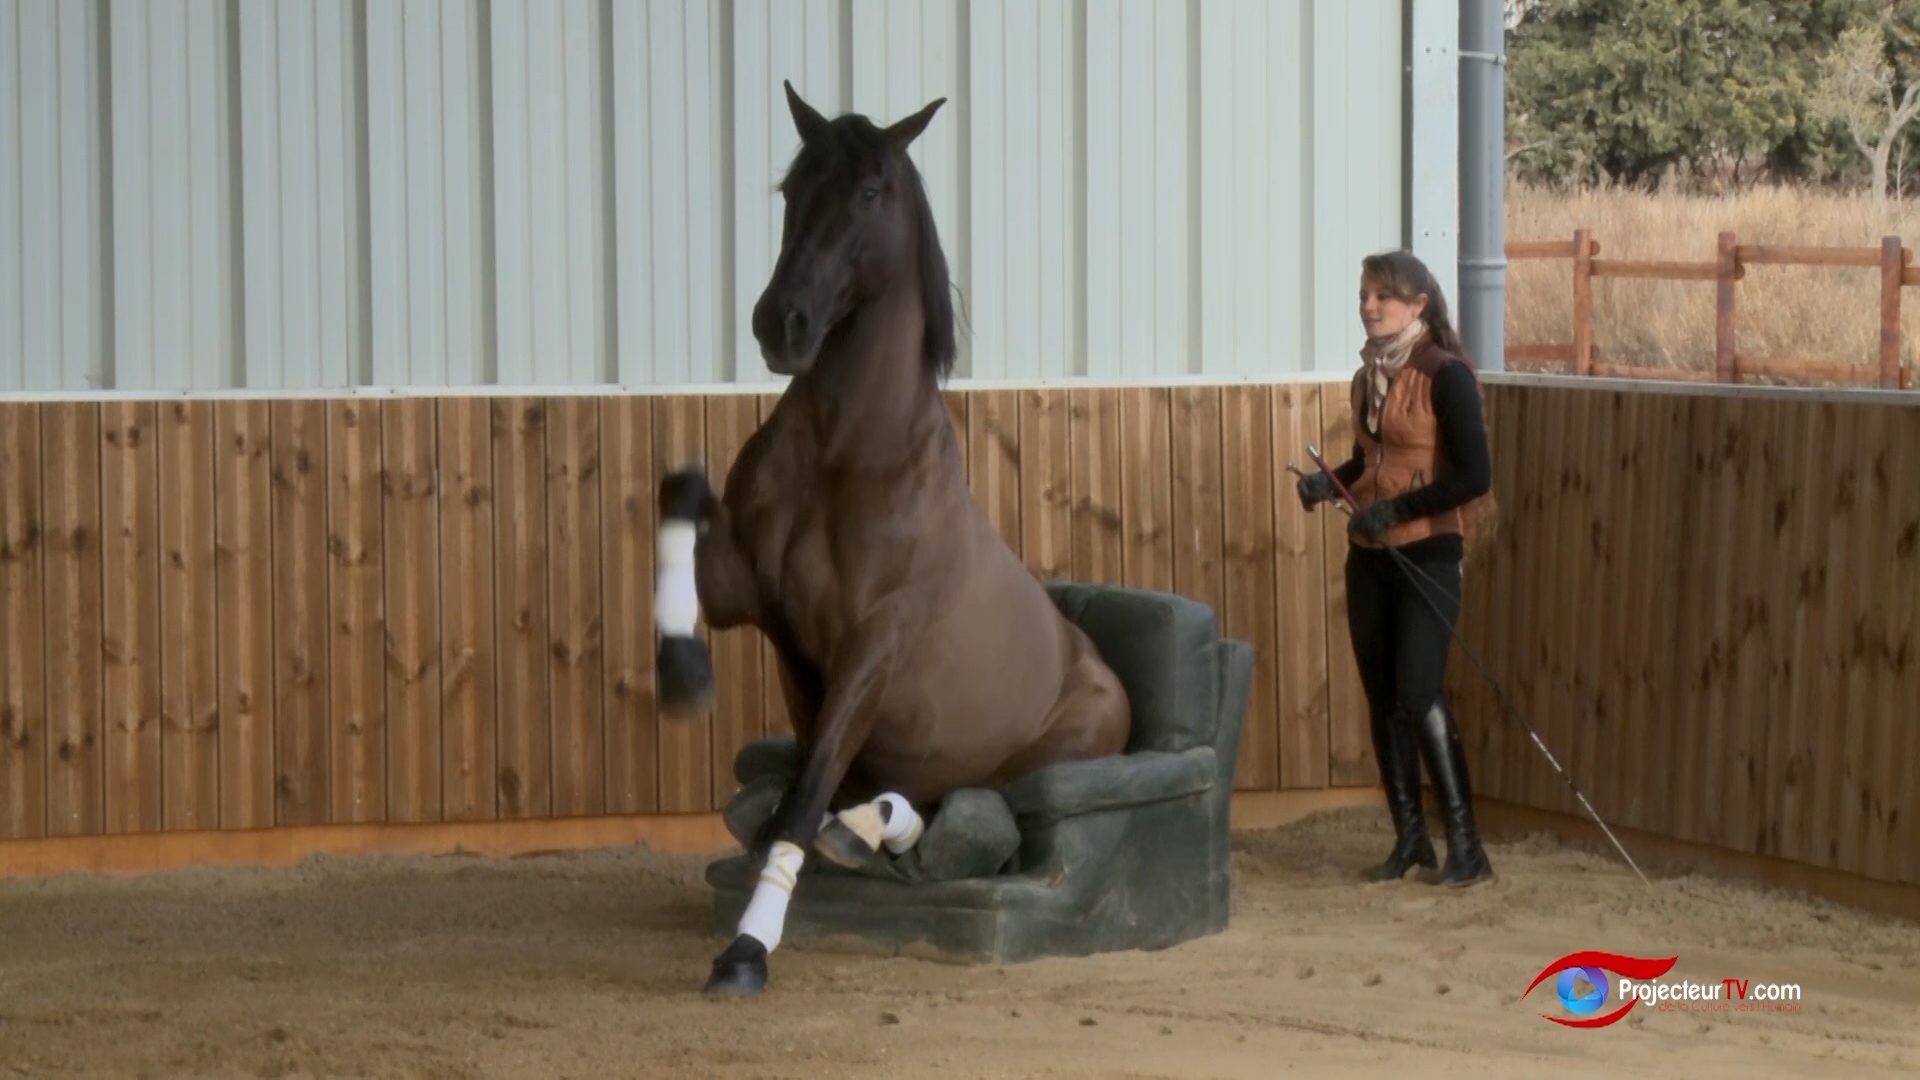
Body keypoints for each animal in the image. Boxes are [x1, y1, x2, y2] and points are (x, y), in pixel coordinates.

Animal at [650, 81, 1134, 996]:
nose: (781, 323)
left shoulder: (873, 642)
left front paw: (745, 951)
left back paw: (870, 828)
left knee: (972, 813)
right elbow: (679, 493)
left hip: (1033, 761)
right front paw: (682, 670)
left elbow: (803, 799)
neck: (851, 454)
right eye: (790, 188)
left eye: (870, 192)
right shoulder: (751, 598)